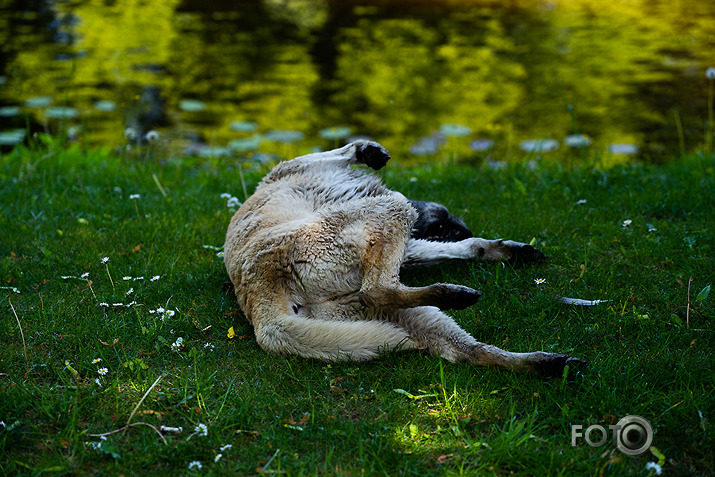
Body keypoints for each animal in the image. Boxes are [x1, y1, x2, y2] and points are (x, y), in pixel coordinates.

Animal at [225, 139, 588, 374]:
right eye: (444, 223)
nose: (462, 225)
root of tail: (259, 296)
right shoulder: (291, 168)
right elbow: (329, 153)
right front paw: (366, 150)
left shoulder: (408, 247)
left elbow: (466, 248)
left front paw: (507, 249)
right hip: (389, 210)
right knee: (376, 290)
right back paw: (453, 294)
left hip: (404, 315)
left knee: (467, 352)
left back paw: (546, 363)